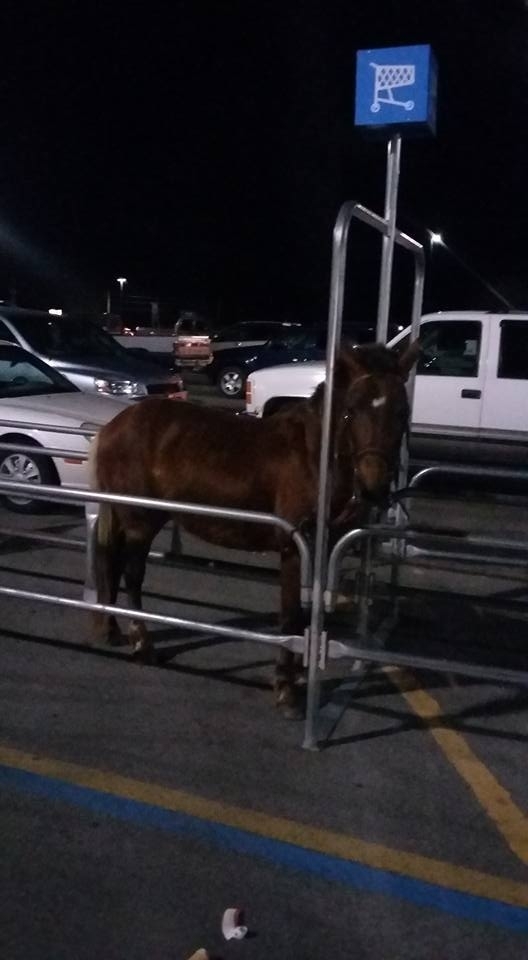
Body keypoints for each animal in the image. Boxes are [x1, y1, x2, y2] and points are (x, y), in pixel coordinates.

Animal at [92, 342, 420, 716]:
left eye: (402, 410)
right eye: (353, 408)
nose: (373, 486)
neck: (314, 456)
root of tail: (113, 426)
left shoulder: (324, 550)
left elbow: (306, 615)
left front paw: (299, 674)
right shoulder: (294, 550)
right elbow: (290, 616)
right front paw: (286, 689)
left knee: (112, 565)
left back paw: (111, 629)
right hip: (140, 522)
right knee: (132, 576)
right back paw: (142, 645)